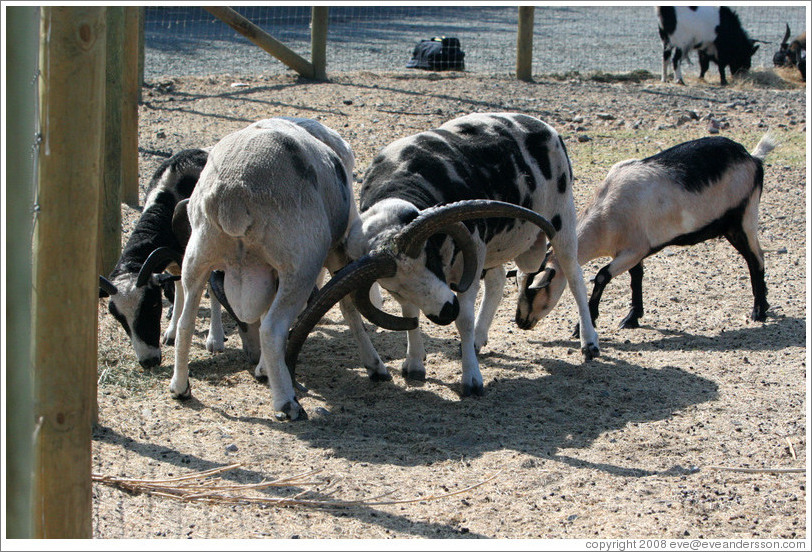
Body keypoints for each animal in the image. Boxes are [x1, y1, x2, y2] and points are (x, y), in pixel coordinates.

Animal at [170, 117, 382, 421]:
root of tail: (233, 193)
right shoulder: (336, 249)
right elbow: (348, 306)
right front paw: (374, 365)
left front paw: (263, 369)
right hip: (300, 264)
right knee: (271, 329)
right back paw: (287, 404)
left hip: (198, 256)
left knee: (186, 322)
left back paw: (180, 387)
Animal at [286, 113, 600, 398]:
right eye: (393, 286)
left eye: (430, 258)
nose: (446, 310)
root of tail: (542, 125)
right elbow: (410, 313)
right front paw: (414, 364)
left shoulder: (472, 250)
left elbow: (465, 320)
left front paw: (472, 380)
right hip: (495, 246)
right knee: (497, 280)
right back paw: (477, 341)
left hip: (561, 218)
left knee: (574, 276)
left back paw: (589, 343)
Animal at [515, 134, 776, 335]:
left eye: (535, 290)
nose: (520, 321)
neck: (607, 210)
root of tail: (752, 157)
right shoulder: (632, 250)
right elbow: (636, 278)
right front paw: (632, 317)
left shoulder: (634, 249)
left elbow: (602, 276)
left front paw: (583, 326)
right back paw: (764, 305)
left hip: (744, 219)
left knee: (756, 258)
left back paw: (758, 311)